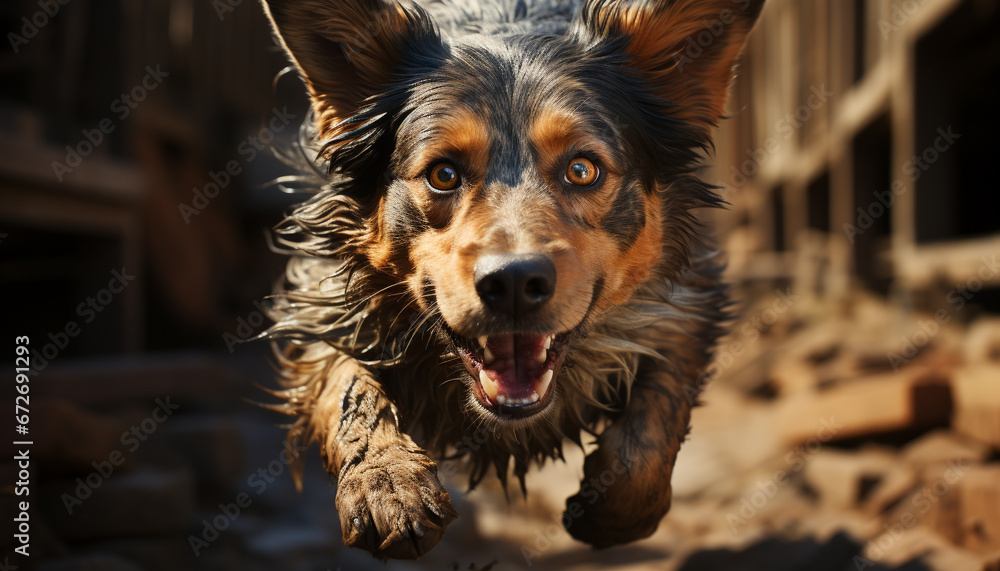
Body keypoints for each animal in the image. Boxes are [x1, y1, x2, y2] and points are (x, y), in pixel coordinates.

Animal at [260, 0, 764, 564]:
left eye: (582, 169)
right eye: (443, 174)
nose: (516, 282)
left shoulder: (688, 298)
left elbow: (657, 414)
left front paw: (615, 510)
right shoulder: (322, 297)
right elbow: (347, 386)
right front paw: (385, 483)